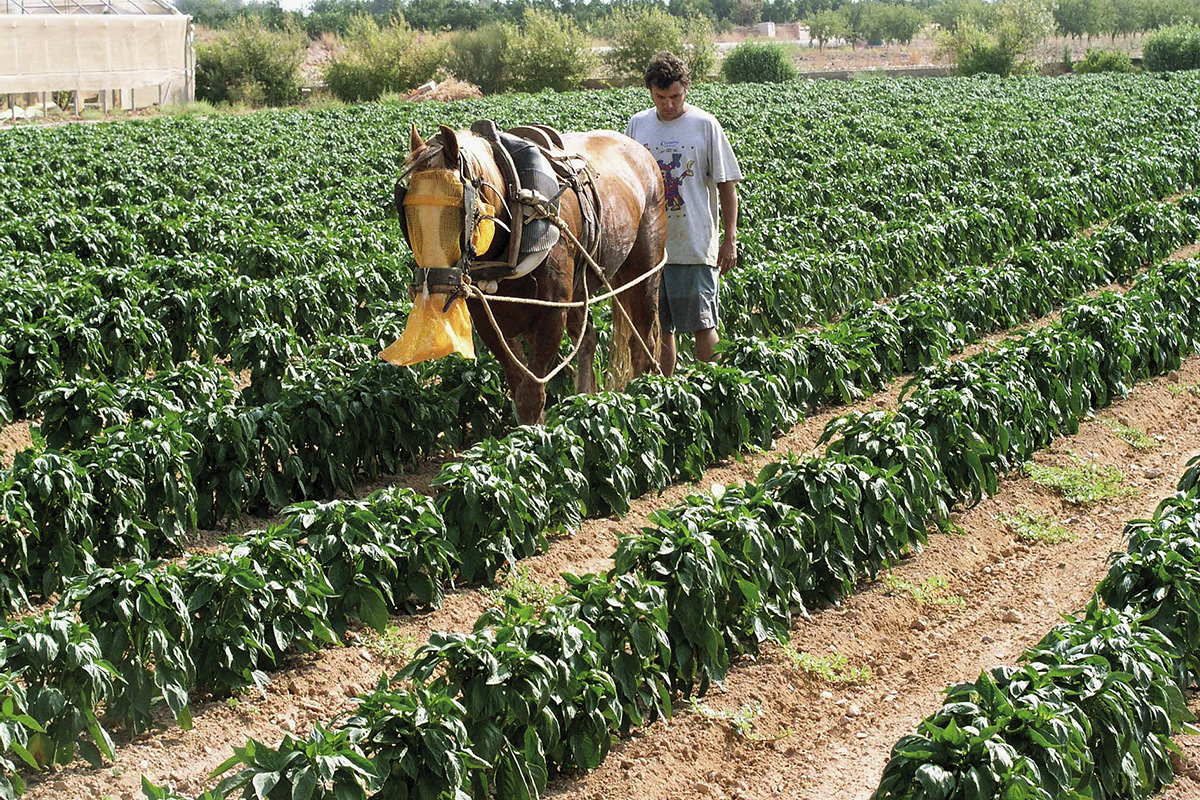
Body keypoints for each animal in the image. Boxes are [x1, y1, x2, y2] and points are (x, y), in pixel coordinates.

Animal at [398, 122, 672, 424]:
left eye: (461, 206)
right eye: (407, 211)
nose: (437, 283)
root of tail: (640, 152)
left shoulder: (551, 315)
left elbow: (531, 395)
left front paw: (532, 437)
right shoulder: (489, 320)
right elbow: (519, 385)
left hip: (644, 271)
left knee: (643, 341)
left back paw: (642, 394)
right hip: (579, 289)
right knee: (588, 338)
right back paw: (584, 399)